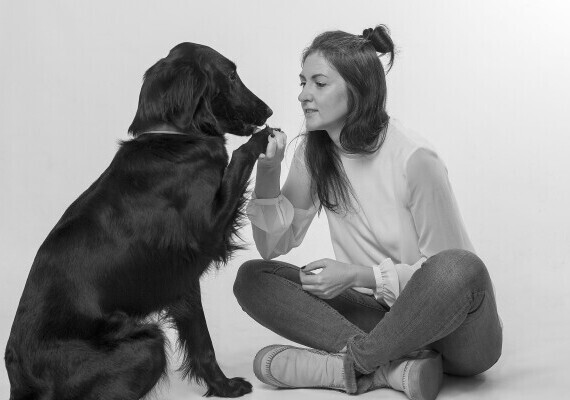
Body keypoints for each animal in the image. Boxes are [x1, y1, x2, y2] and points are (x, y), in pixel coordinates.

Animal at [5, 42, 273, 400]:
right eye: (231, 75)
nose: (268, 111)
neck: (174, 135)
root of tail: (23, 384)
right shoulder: (206, 237)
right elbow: (239, 158)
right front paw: (262, 139)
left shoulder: (183, 281)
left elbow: (200, 342)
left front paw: (221, 386)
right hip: (147, 343)